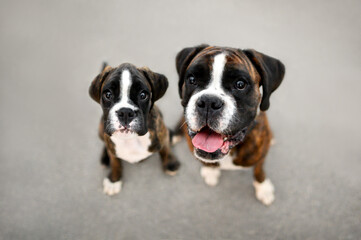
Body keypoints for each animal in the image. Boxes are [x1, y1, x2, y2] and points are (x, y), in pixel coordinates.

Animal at [89, 62, 179, 196]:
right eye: (108, 94)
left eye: (143, 95)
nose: (125, 112)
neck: (131, 140)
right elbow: (115, 162)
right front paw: (114, 180)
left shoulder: (161, 138)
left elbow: (165, 150)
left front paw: (170, 163)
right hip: (101, 129)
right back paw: (105, 159)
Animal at [174, 44, 284, 204]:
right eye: (192, 79)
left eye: (240, 84)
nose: (209, 101)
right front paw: (210, 171)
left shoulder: (261, 156)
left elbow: (259, 170)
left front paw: (263, 188)